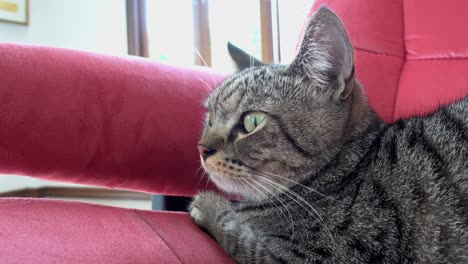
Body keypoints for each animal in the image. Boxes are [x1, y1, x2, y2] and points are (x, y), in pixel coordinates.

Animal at [188, 7, 468, 262]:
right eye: (210, 117)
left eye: (252, 121)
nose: (201, 148)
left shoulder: (312, 256)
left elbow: (237, 232)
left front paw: (208, 205)